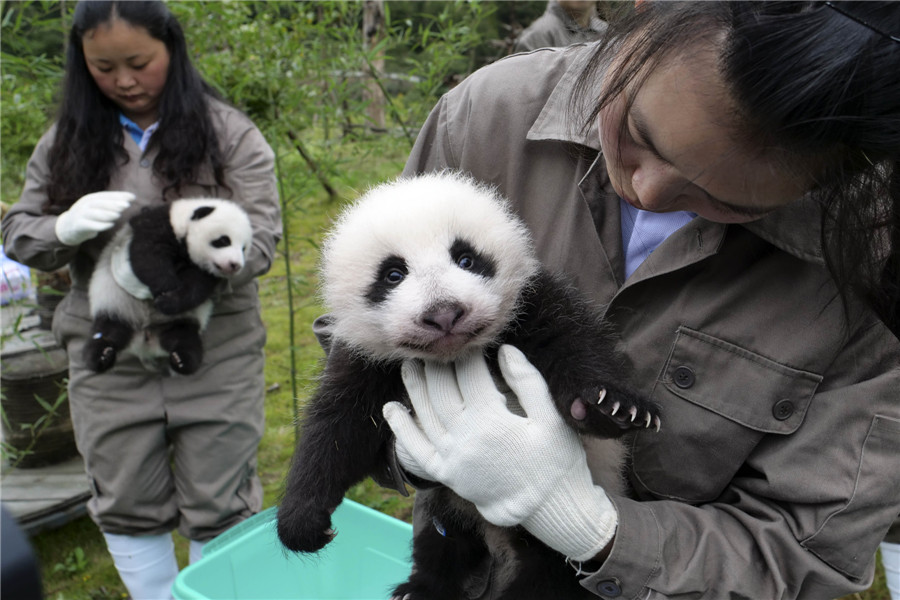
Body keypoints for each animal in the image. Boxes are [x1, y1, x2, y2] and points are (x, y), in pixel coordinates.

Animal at [84, 198, 253, 375]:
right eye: (223, 241)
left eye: (243, 248)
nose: (235, 265)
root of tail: (145, 343)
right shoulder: (155, 224)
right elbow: (149, 256)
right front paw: (165, 289)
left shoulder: (205, 273)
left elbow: (196, 287)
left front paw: (169, 301)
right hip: (116, 305)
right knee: (107, 332)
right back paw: (101, 356)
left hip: (181, 322)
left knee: (185, 339)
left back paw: (182, 360)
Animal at [276, 172, 660, 600]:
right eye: (393, 274)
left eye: (466, 259)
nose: (444, 313)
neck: (455, 357)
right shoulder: (368, 361)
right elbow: (337, 428)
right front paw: (302, 521)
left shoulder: (531, 305)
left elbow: (573, 341)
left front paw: (612, 406)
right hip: (449, 509)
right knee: (440, 544)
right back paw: (419, 588)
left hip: (553, 543)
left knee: (544, 580)